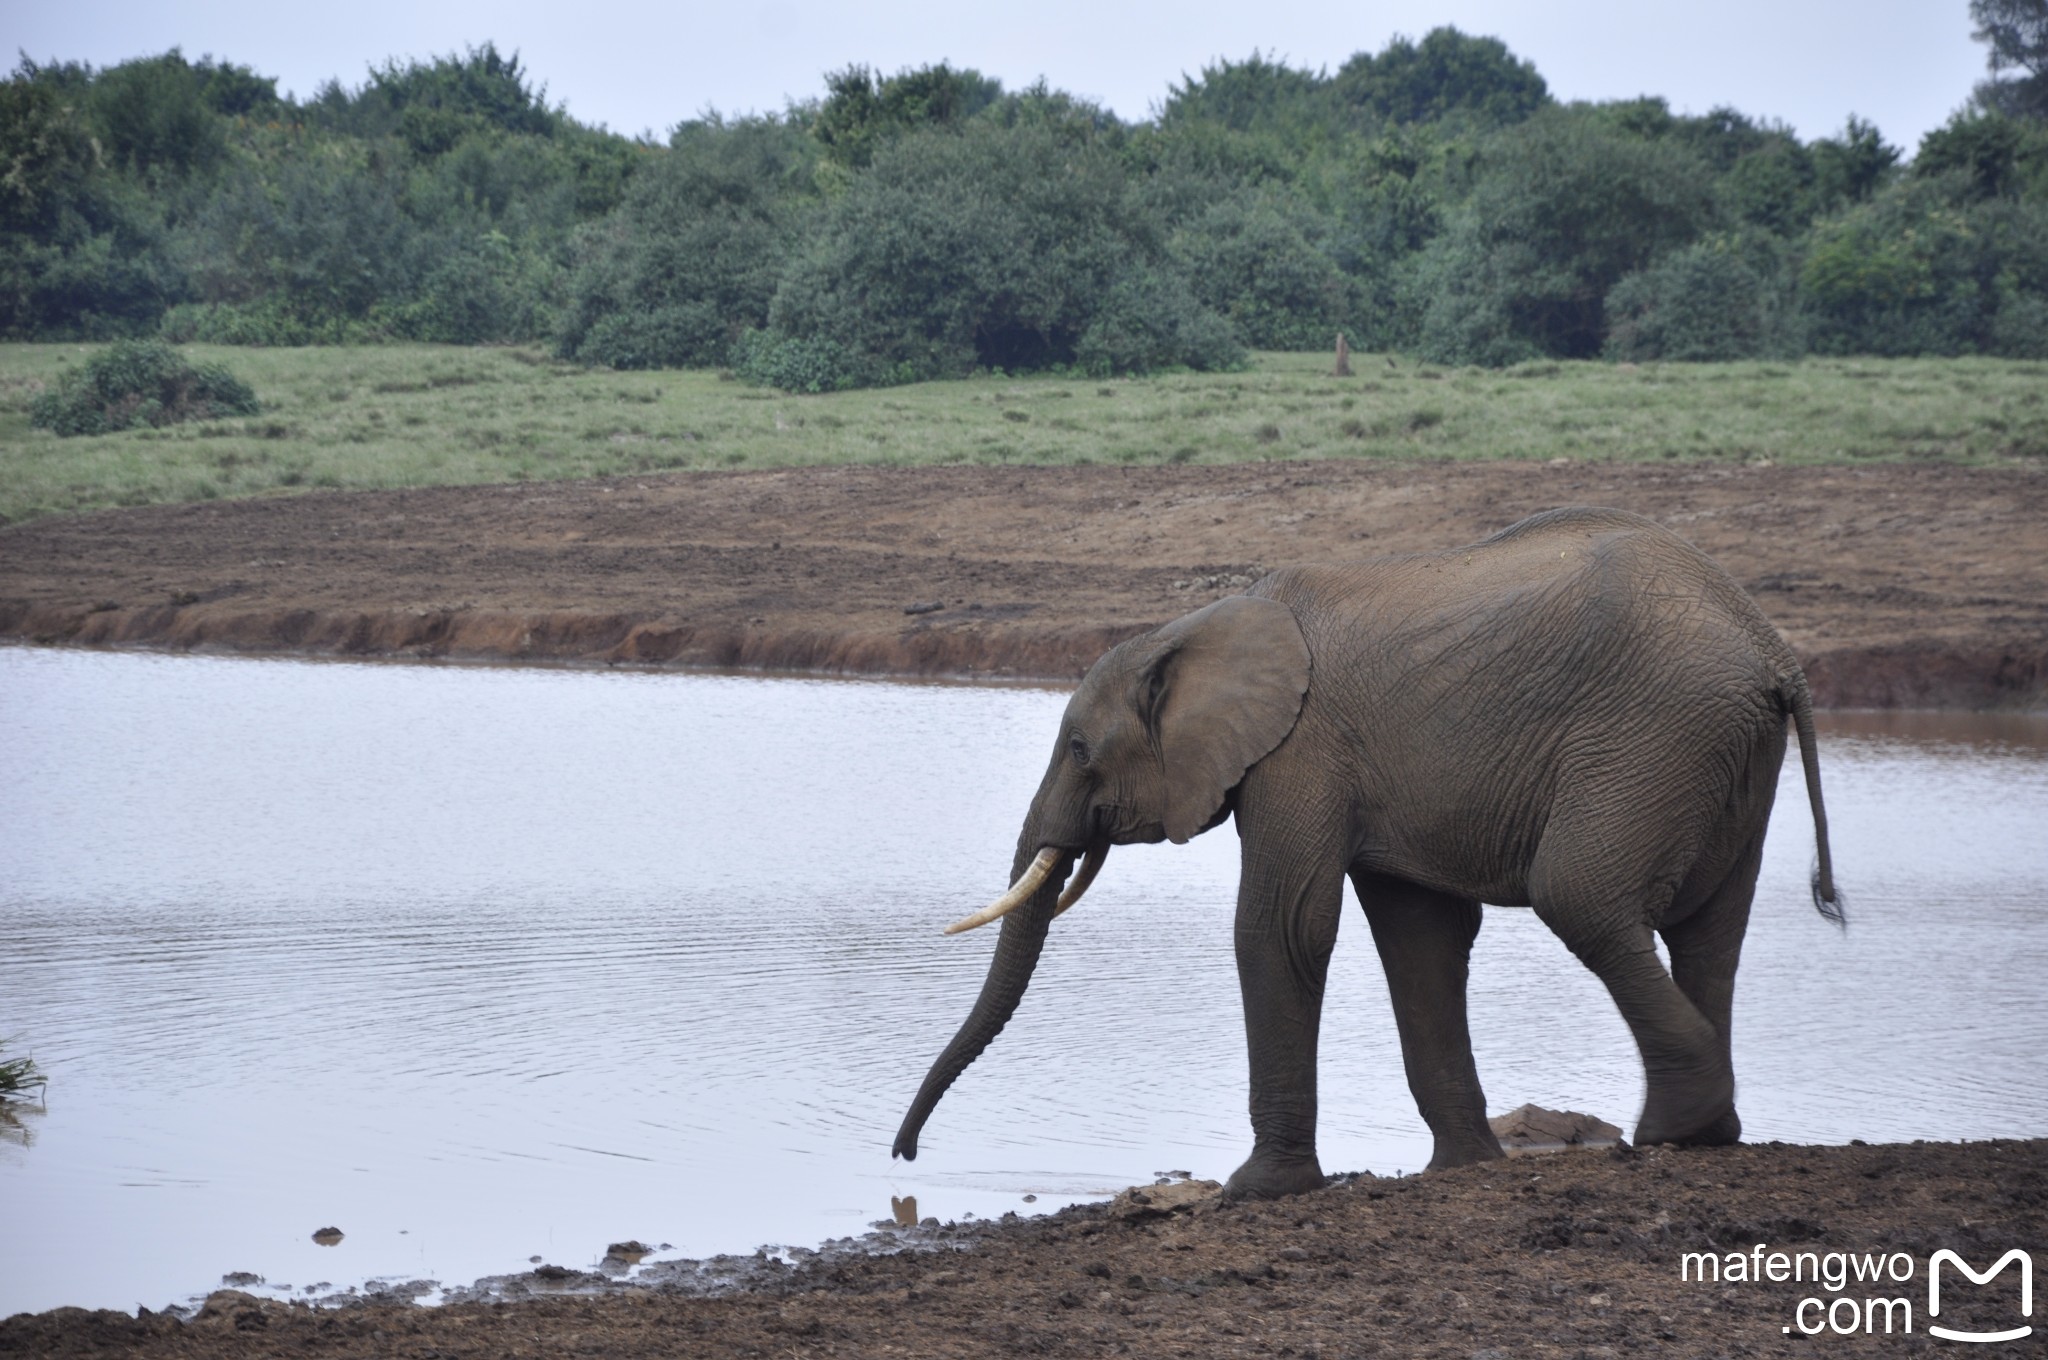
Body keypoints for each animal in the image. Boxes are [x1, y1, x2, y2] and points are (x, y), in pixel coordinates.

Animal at [892, 503, 1843, 1196]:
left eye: (1082, 751)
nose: (903, 1156)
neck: (1194, 627)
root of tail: (1773, 651)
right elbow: (1419, 940)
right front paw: (1459, 1170)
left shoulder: (1301, 750)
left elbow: (1281, 928)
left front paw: (1257, 1190)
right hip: (1717, 748)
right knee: (1711, 930)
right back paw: (1711, 1132)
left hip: (1655, 736)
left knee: (1582, 895)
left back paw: (1674, 1128)